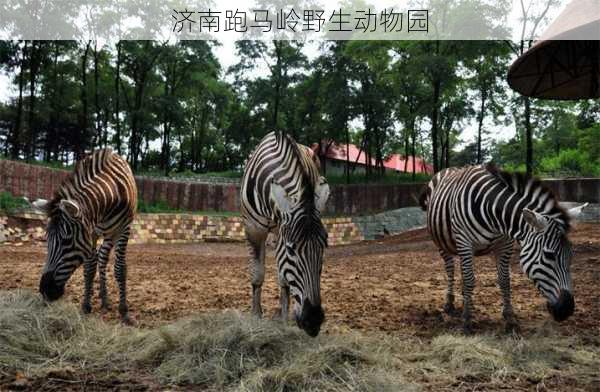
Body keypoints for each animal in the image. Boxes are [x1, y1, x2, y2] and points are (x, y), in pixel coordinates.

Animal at [32, 149, 137, 324]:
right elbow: (89, 268)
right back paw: (100, 295)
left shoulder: (124, 229)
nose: (45, 290)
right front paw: (86, 306)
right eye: (47, 240)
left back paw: (104, 297)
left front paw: (124, 311)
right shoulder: (90, 233)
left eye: (66, 240)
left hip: (111, 234)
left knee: (103, 257)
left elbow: (120, 269)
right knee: (99, 259)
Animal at [241, 132, 330, 336]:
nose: (313, 321)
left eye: (324, 248)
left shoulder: (282, 230)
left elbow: (284, 279)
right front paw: (256, 316)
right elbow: (257, 273)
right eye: (291, 250)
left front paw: (283, 319)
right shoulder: (253, 228)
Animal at [422, 164, 584, 332]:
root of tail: (449, 168)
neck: (492, 212)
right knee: (450, 270)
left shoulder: (505, 245)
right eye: (549, 256)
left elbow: (504, 280)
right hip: (442, 242)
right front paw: (466, 320)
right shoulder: (464, 241)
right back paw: (450, 302)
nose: (567, 310)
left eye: (571, 255)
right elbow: (469, 279)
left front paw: (509, 317)